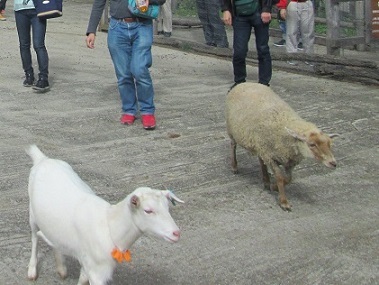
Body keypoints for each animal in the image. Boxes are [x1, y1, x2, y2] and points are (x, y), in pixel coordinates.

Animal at [25, 144, 184, 284]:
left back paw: (61, 268)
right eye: (148, 210)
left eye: (167, 207)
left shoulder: (89, 264)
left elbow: (82, 280)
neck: (110, 227)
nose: (176, 233)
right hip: (32, 214)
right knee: (34, 237)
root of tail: (43, 159)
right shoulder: (97, 272)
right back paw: (32, 270)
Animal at [226, 82, 338, 211]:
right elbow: (280, 178)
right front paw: (283, 201)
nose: (333, 163)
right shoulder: (271, 157)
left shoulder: (288, 161)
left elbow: (289, 179)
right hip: (233, 132)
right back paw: (234, 166)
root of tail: (245, 83)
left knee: (261, 160)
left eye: (329, 143)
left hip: (260, 145)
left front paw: (274, 186)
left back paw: (266, 180)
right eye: (312, 144)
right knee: (233, 146)